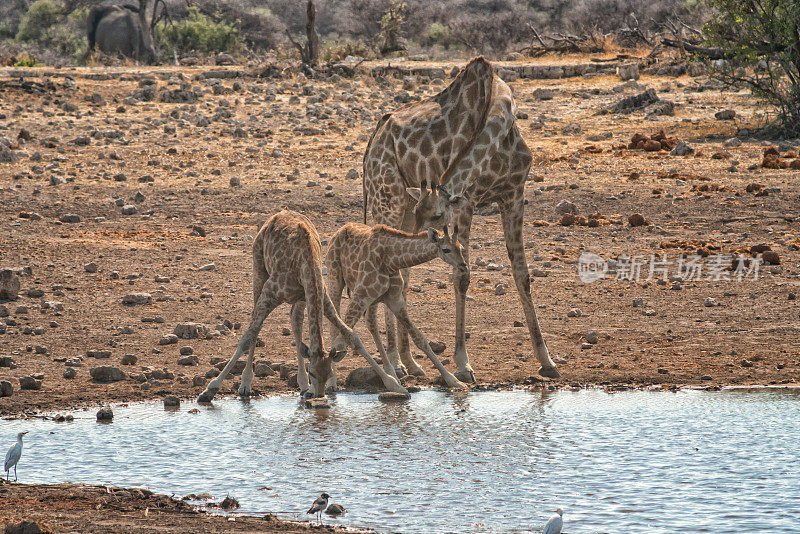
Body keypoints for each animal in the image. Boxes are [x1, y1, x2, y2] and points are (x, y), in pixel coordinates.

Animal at [198, 209, 410, 402]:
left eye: (327, 373)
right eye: (313, 373)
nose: (319, 395)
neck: (304, 264)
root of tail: (275, 216)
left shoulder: (321, 297)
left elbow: (352, 336)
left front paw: (396, 386)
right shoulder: (269, 293)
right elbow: (248, 336)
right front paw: (210, 390)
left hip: (300, 298)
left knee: (296, 322)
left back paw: (301, 385)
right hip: (259, 272)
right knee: (255, 325)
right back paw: (245, 385)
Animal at [326, 223, 468, 390]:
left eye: (460, 247)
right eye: (446, 249)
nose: (463, 266)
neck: (391, 260)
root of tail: (338, 231)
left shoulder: (395, 300)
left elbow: (420, 338)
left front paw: (454, 380)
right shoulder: (360, 296)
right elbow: (347, 336)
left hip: (372, 300)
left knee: (371, 325)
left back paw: (391, 373)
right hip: (335, 279)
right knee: (334, 326)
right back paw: (332, 382)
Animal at [364, 56, 560, 384]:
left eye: (435, 214)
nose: (421, 235)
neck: (497, 114)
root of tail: (372, 141)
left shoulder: (514, 194)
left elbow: (522, 274)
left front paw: (547, 360)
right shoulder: (466, 201)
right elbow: (462, 277)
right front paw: (463, 363)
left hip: (404, 202)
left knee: (402, 272)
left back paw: (410, 362)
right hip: (387, 198)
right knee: (393, 268)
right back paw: (397, 363)